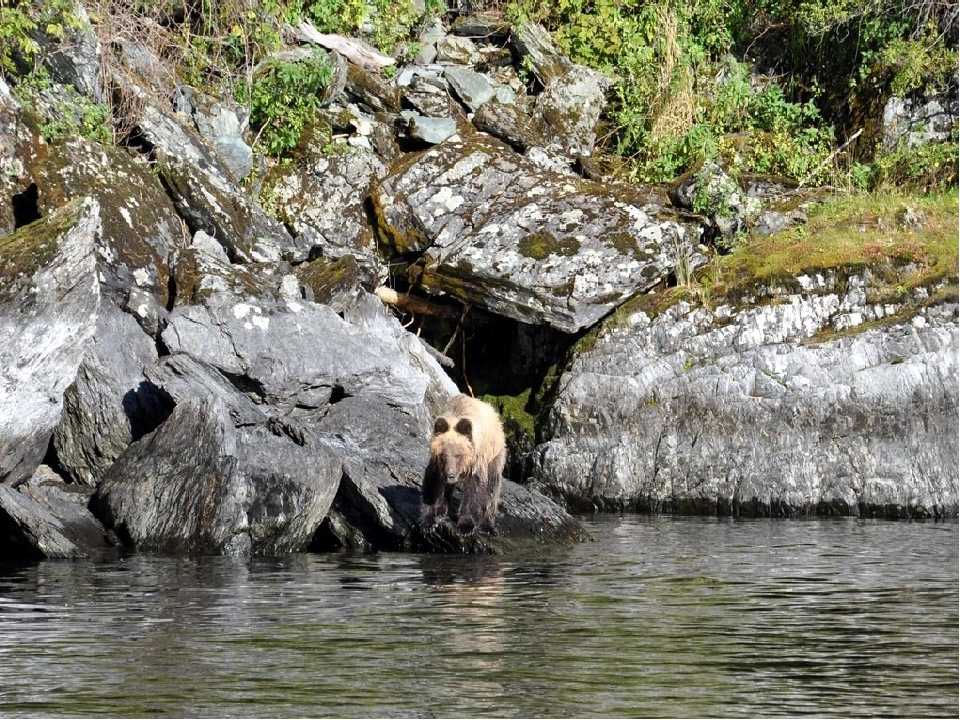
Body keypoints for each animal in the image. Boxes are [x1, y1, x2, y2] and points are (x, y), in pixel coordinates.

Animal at [422, 394, 506, 536]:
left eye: (458, 455)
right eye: (443, 455)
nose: (450, 475)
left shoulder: (476, 462)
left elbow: (475, 489)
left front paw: (465, 525)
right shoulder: (436, 465)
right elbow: (432, 483)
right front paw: (429, 521)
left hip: (495, 455)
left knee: (493, 486)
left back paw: (488, 525)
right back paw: (442, 508)